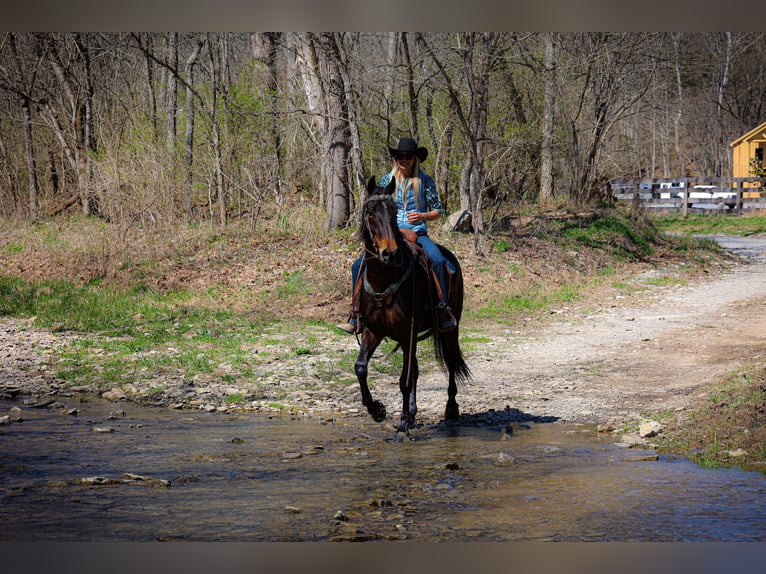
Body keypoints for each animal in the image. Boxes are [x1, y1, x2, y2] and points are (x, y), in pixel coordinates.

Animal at [356, 178, 474, 434]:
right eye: (370, 211)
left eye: (393, 211)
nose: (389, 253)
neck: (383, 280)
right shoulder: (374, 331)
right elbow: (361, 367)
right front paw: (377, 410)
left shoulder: (406, 334)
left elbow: (404, 380)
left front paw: (401, 423)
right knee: (417, 369)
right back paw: (412, 412)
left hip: (450, 328)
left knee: (450, 362)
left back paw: (451, 408)